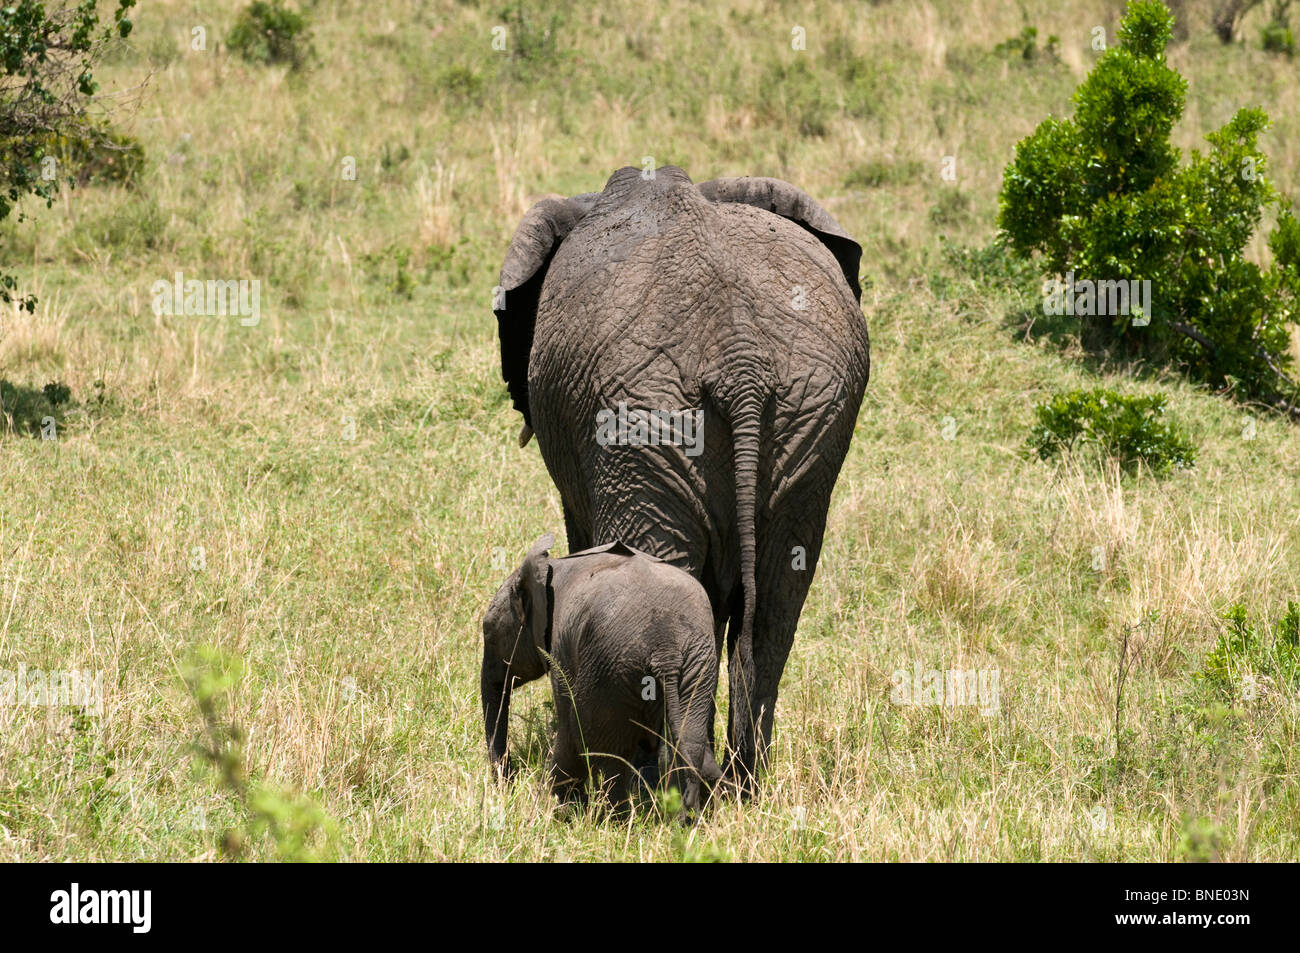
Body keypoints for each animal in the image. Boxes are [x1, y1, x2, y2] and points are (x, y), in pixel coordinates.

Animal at [481, 534, 722, 813]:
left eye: (489, 634)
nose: (507, 785)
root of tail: (666, 648)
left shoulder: (562, 645)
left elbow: (571, 728)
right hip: (696, 667)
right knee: (686, 743)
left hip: (610, 667)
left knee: (601, 750)